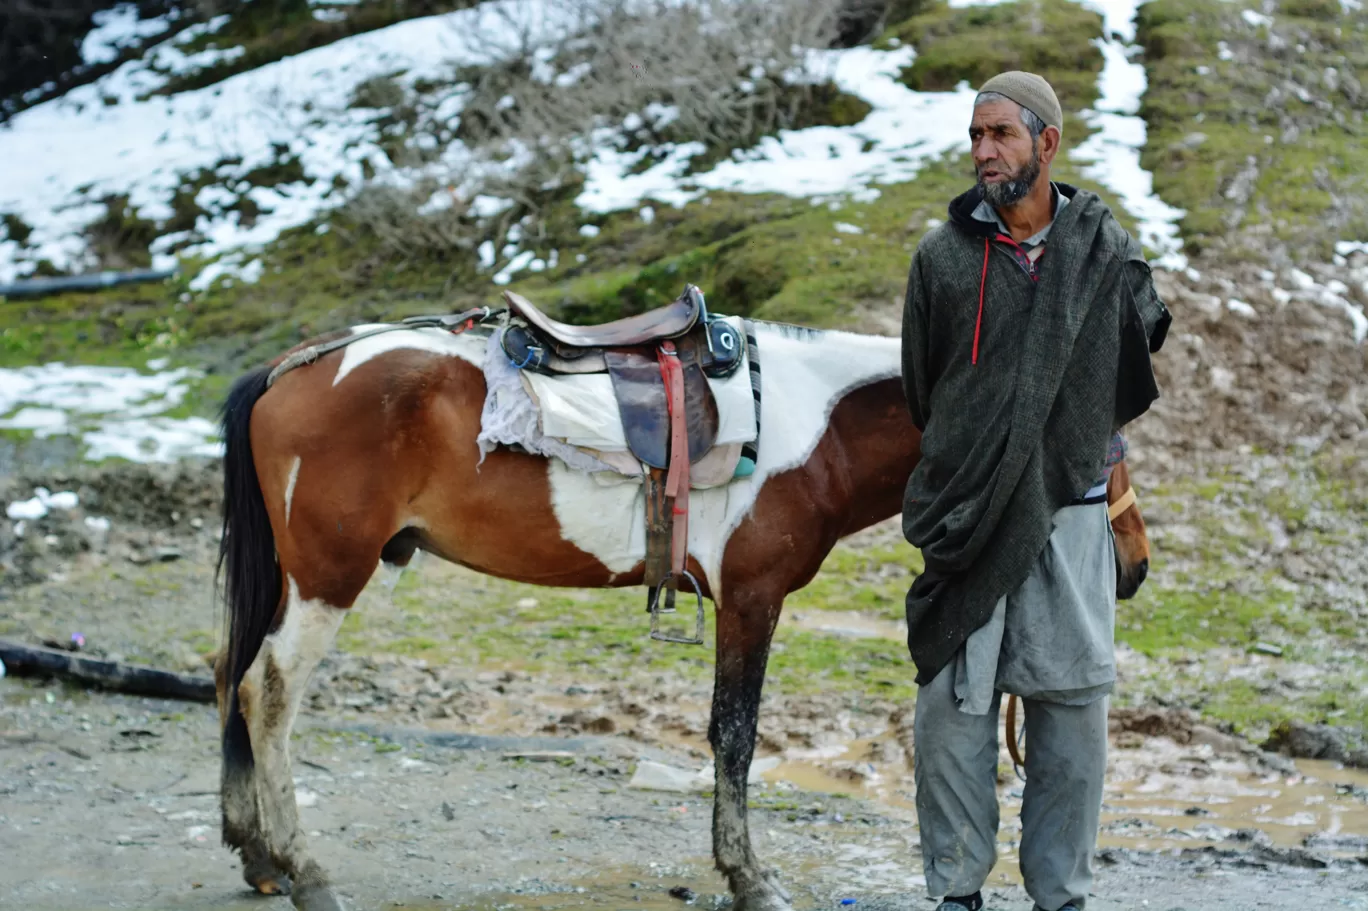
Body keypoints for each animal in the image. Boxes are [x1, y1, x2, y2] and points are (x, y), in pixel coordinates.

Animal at [216, 315, 1143, 902]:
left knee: (231, 676)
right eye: (1106, 447)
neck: (809, 424)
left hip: (292, 578)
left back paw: (257, 855)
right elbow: (735, 735)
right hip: (329, 575)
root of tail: (291, 367)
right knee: (269, 691)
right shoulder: (751, 598)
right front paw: (749, 877)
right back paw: (304, 868)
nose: (1131, 568)